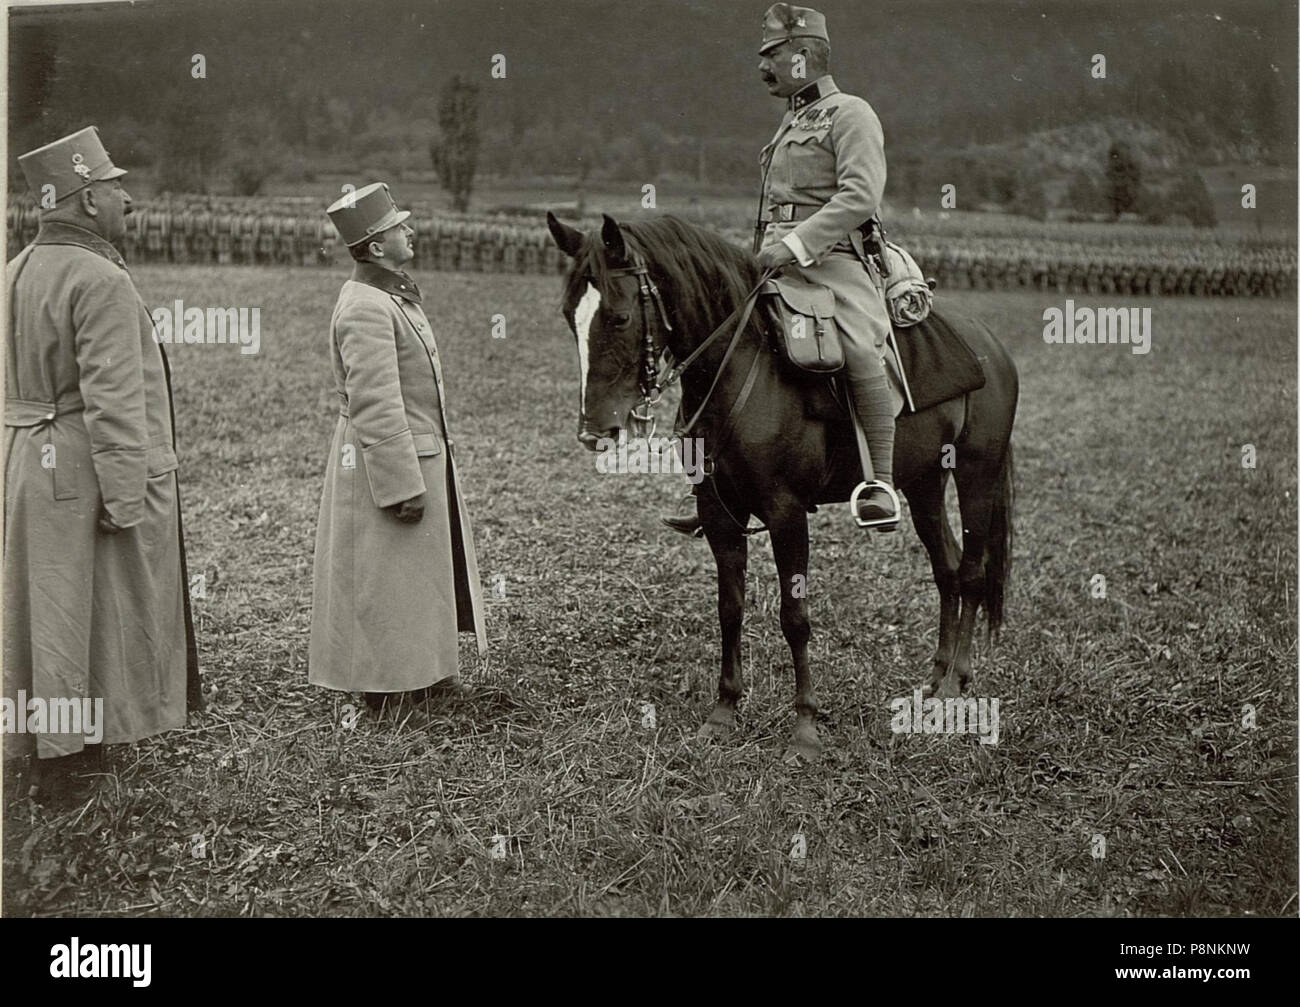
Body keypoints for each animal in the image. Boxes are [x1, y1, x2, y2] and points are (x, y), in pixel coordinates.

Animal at [548, 214, 1013, 764]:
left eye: (619, 318)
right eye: (568, 317)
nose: (594, 431)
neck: (741, 365)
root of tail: (990, 343)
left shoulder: (787, 514)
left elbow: (795, 617)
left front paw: (805, 729)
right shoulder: (719, 513)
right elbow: (729, 609)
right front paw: (723, 712)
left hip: (977, 476)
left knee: (972, 572)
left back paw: (955, 682)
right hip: (924, 485)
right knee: (947, 569)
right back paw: (936, 674)